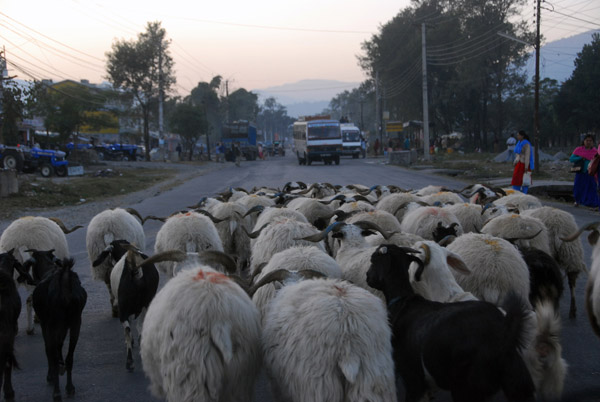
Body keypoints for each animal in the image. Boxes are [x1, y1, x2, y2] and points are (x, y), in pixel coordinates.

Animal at [32, 260, 87, 400]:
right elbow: (59, 346)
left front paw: (50, 375)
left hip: (52, 325)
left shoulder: (46, 325)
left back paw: (57, 392)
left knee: (53, 354)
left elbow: (49, 350)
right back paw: (69, 387)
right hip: (75, 323)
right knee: (69, 356)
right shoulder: (64, 326)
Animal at [366, 245, 536, 402]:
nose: (367, 276)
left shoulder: (413, 379)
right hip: (519, 386)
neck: (403, 301)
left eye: (374, 259)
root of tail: (503, 333)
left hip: (466, 388)